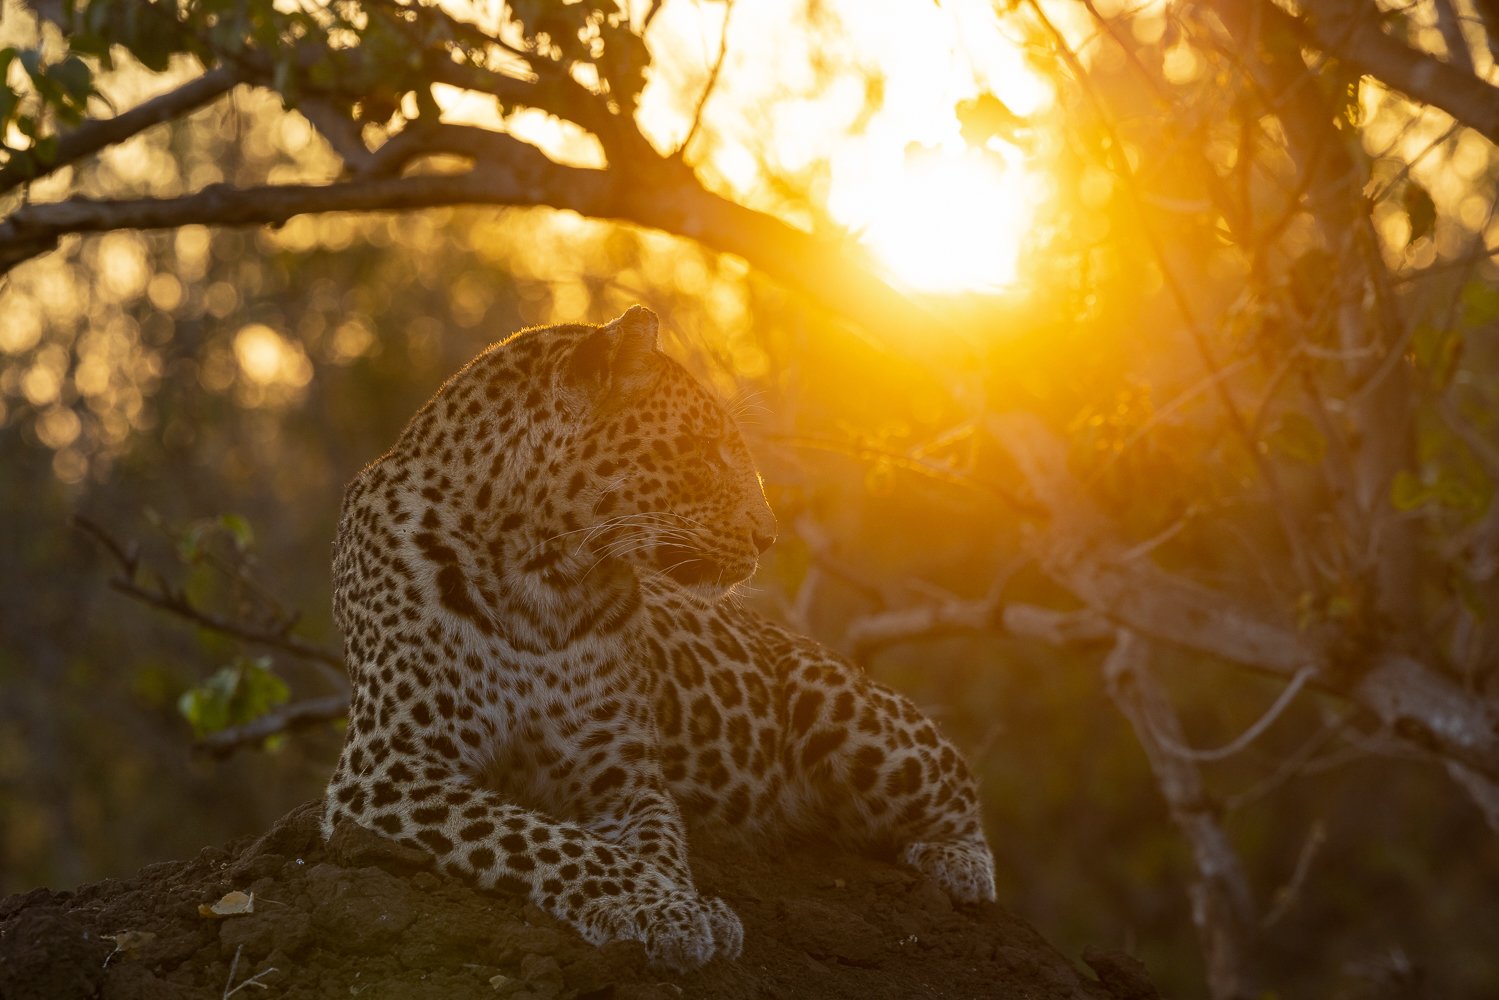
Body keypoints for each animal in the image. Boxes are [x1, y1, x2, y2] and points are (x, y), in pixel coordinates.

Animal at [321, 305, 996, 971]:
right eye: (705, 449)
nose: (769, 536)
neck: (539, 576)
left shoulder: (622, 776)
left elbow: (651, 846)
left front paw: (680, 905)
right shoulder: (392, 766)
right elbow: (550, 840)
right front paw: (667, 909)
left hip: (845, 708)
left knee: (959, 786)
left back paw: (958, 865)